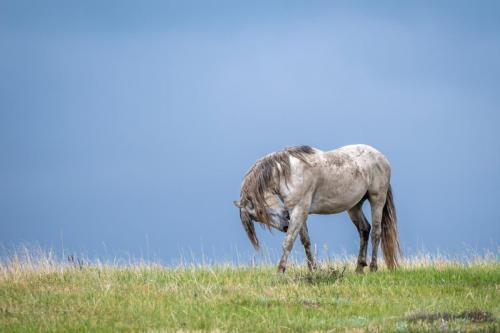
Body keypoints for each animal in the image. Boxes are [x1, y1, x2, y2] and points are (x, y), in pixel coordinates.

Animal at [234, 143, 402, 272]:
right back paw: (359, 268)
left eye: (259, 212)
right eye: (256, 217)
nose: (284, 226)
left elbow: (288, 242)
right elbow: (305, 241)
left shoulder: (298, 211)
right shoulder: (297, 213)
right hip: (354, 206)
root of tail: (381, 157)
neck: (289, 173)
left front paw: (280, 271)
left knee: (376, 232)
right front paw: (312, 270)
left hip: (377, 200)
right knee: (364, 229)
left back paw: (373, 268)